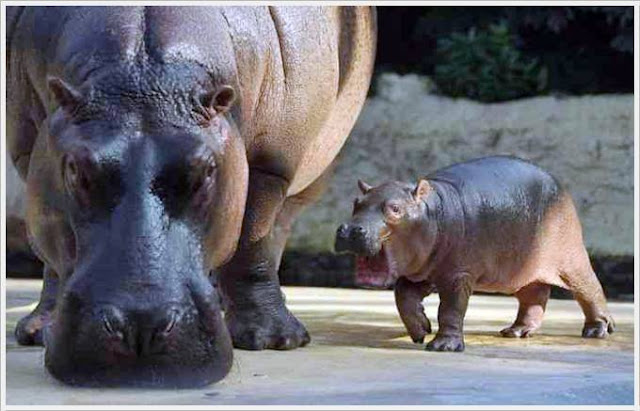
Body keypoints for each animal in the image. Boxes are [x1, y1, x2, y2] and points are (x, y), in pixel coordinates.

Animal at [6, 4, 376, 388]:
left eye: (206, 171)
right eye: (76, 169)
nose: (139, 327)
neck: (141, 74)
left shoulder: (270, 165)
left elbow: (253, 242)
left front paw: (273, 341)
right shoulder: (29, 150)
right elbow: (49, 249)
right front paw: (40, 332)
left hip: (314, 169)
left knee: (278, 227)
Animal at [336, 156, 616, 352]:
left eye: (394, 208)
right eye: (356, 203)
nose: (348, 229)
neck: (432, 211)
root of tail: (559, 184)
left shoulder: (457, 275)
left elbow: (451, 309)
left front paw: (443, 346)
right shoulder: (422, 273)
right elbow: (402, 297)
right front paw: (420, 331)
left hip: (571, 259)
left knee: (589, 288)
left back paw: (597, 331)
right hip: (522, 271)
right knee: (533, 298)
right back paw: (516, 331)